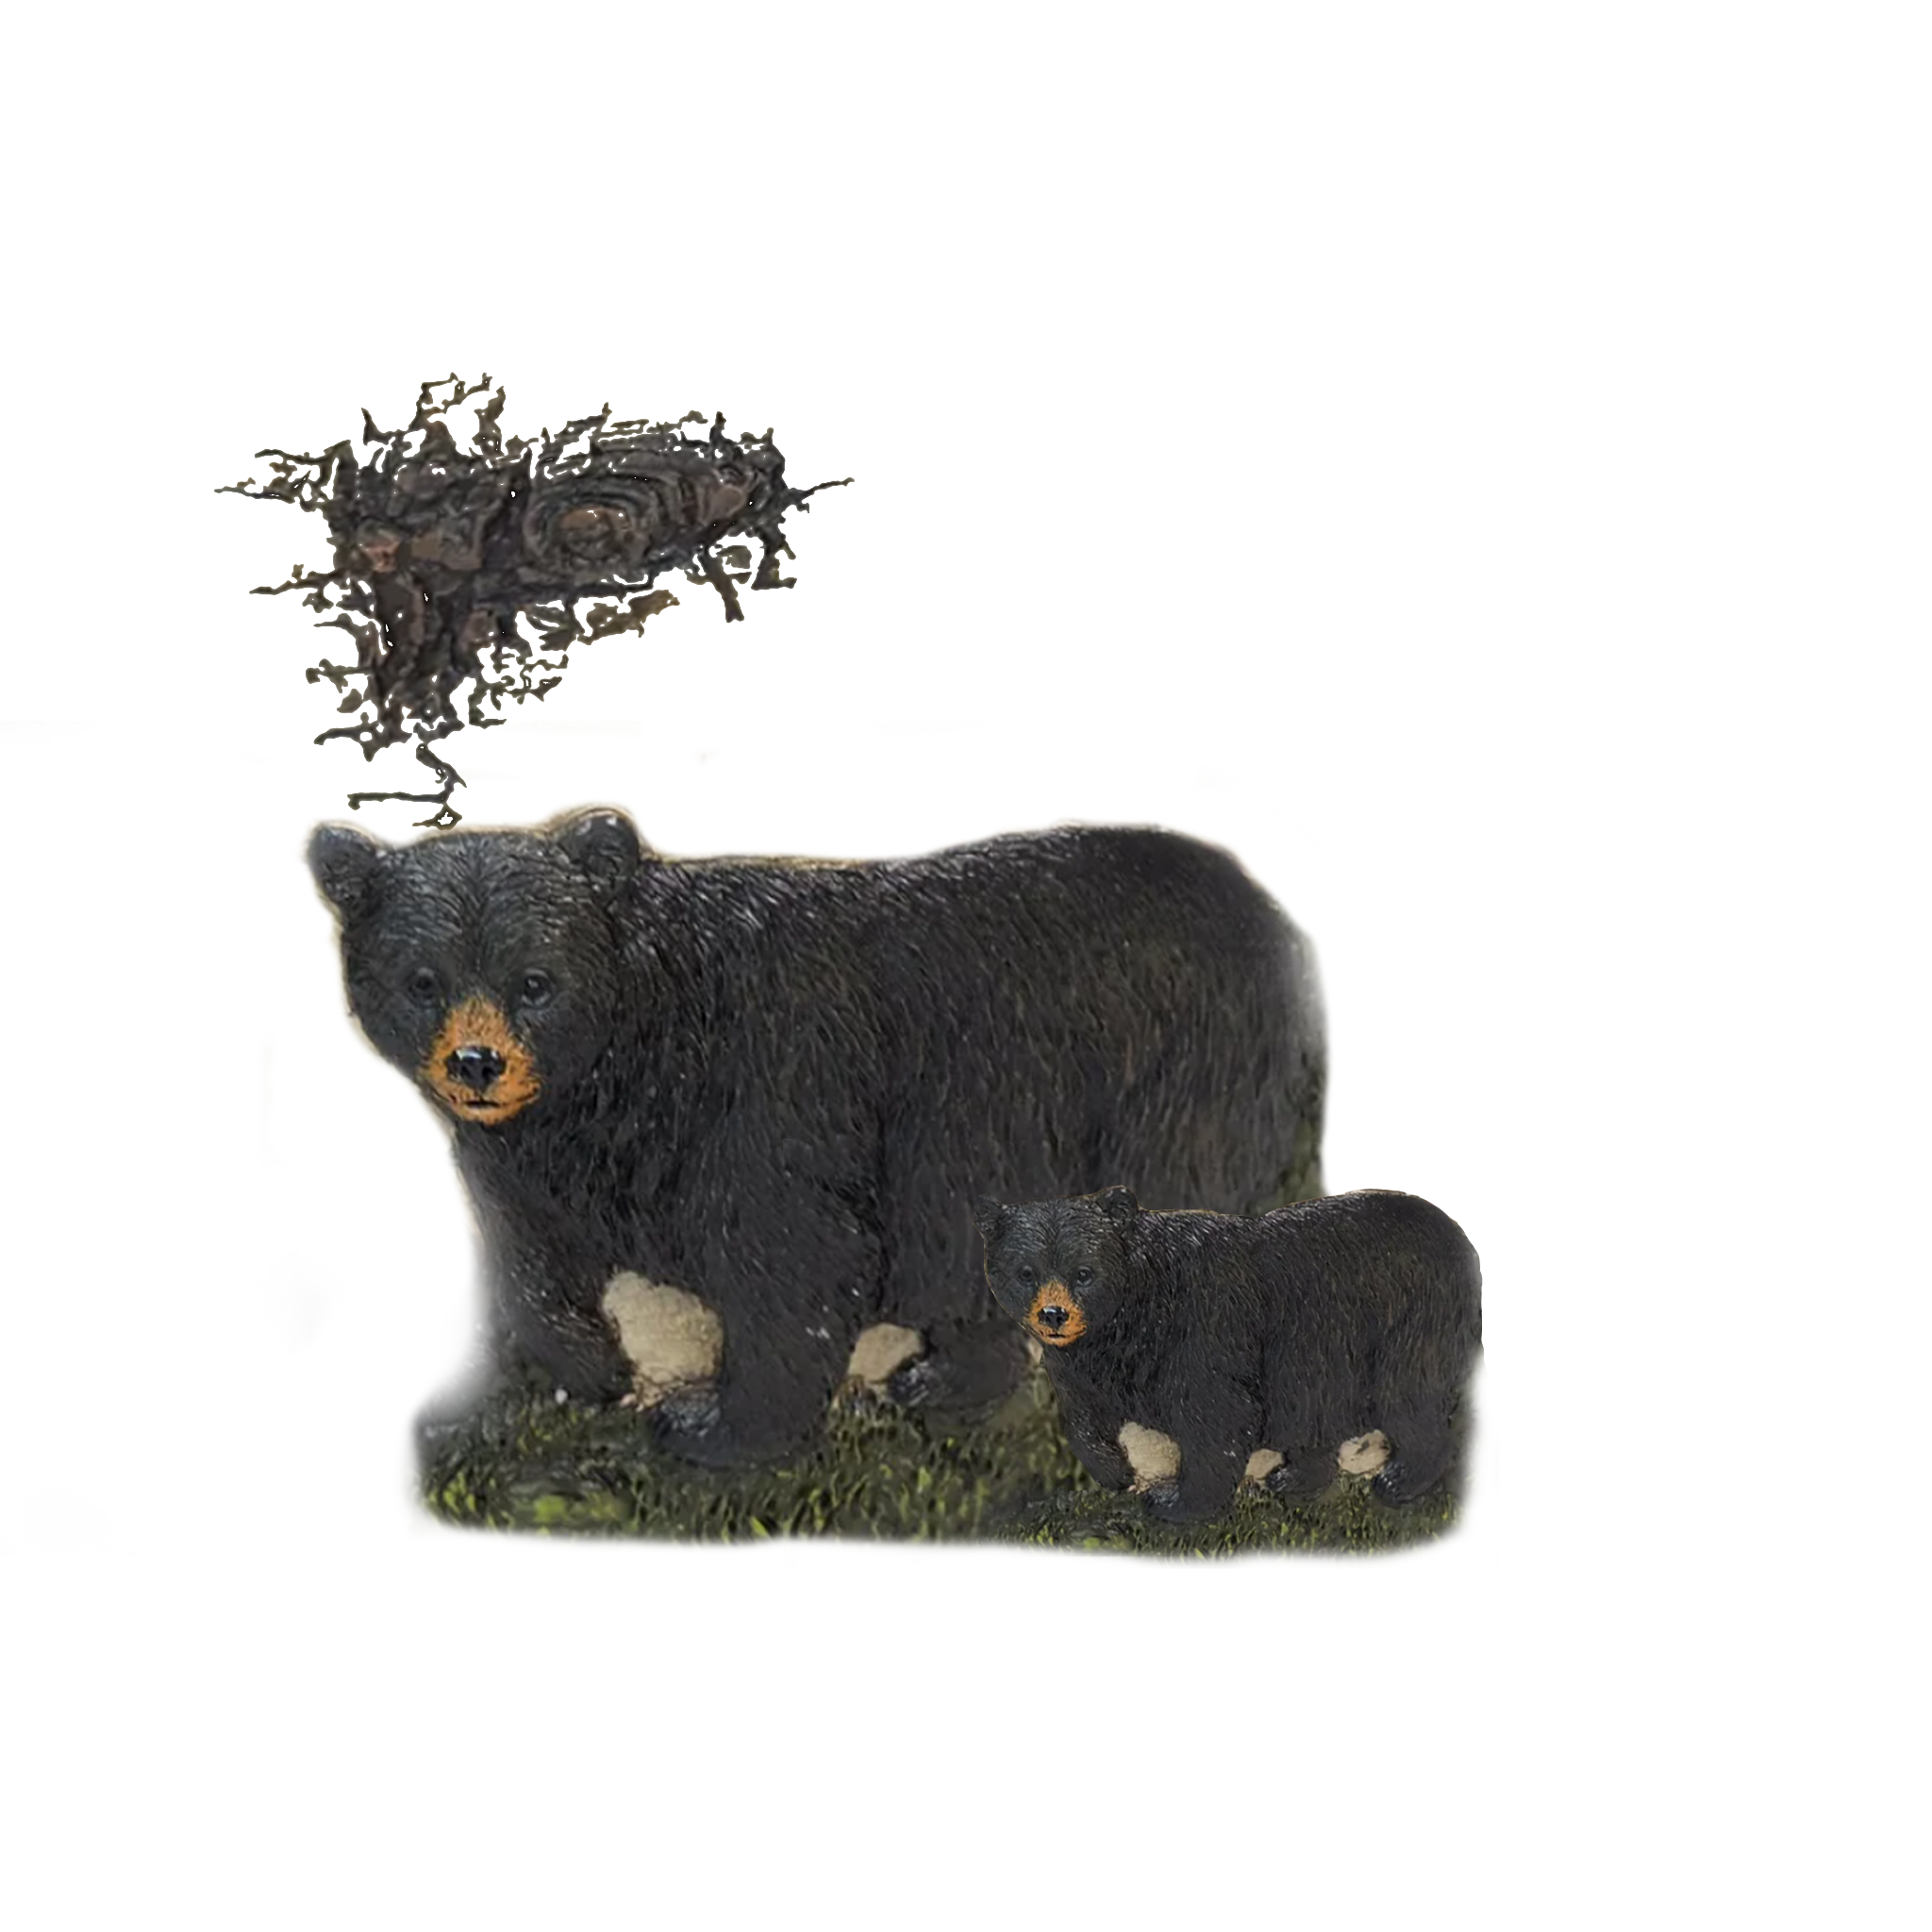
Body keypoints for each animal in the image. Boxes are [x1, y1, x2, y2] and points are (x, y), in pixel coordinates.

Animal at [297, 798, 1333, 1470]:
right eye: (421, 978)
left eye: (535, 980)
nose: (476, 1065)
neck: (624, 1065)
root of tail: (1270, 906)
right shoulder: (555, 1154)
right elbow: (533, 1249)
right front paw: (591, 1364)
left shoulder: (766, 1089)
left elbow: (789, 1259)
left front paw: (709, 1425)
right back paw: (936, 1382)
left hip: (1169, 1081)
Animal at [972, 1185, 1482, 1523]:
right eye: (1025, 1272)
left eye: (1084, 1272)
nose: (1053, 1315)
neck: (1130, 1320)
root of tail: (1464, 1242)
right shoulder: (1087, 1365)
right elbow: (1085, 1413)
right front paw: (1115, 1471)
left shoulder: (1203, 1329)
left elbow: (1215, 1416)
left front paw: (1174, 1502)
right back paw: (1293, 1477)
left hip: (1410, 1323)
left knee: (1407, 1395)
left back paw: (1400, 1480)